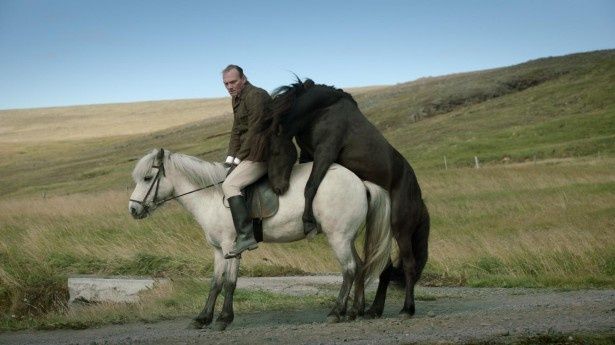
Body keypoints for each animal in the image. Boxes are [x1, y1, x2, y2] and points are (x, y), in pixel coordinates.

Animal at [127, 148, 392, 330]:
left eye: (148, 178)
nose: (133, 210)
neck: (211, 196)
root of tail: (360, 182)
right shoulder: (218, 250)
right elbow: (215, 283)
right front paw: (202, 318)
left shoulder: (231, 247)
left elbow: (229, 283)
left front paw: (224, 319)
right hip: (347, 238)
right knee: (361, 266)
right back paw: (355, 311)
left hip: (338, 238)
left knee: (349, 269)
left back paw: (336, 312)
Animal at [268, 79, 430, 318]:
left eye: (275, 153)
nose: (278, 188)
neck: (322, 110)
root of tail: (420, 201)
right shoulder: (308, 154)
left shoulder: (325, 153)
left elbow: (310, 186)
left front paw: (308, 221)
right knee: (386, 269)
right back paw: (373, 310)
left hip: (401, 230)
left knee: (409, 265)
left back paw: (407, 309)